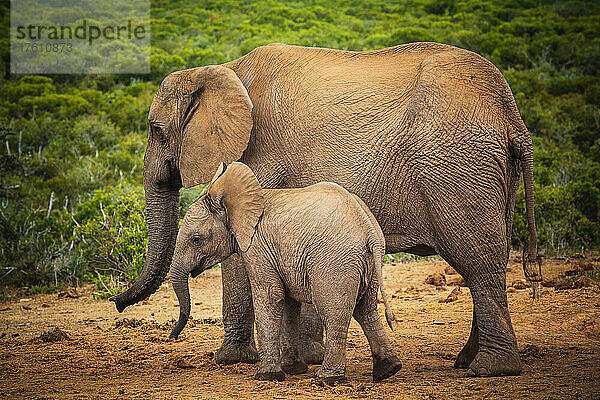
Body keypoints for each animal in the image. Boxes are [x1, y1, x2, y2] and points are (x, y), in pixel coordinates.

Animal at [169, 162, 404, 384]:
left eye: (196, 239)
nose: (173, 336)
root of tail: (370, 231)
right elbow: (290, 304)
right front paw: (293, 370)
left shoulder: (257, 248)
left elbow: (270, 298)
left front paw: (267, 376)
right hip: (368, 264)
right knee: (366, 309)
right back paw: (388, 370)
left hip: (335, 263)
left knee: (334, 314)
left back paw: (327, 379)